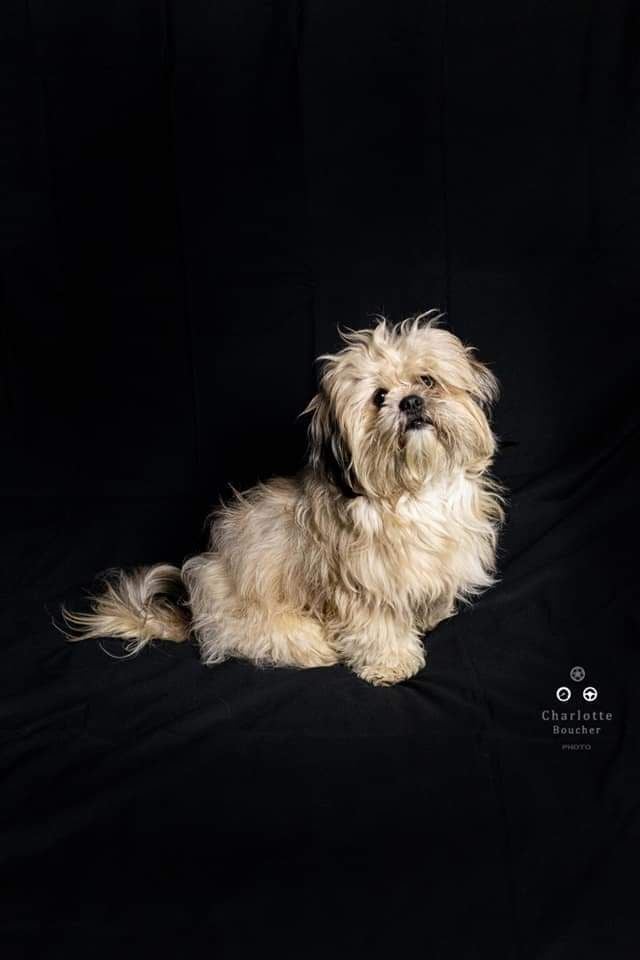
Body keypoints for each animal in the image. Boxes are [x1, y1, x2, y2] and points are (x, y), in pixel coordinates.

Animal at [64, 313, 504, 685]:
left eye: (427, 381)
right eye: (379, 397)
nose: (410, 401)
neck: (414, 490)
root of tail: (195, 617)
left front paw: (429, 616)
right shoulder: (362, 585)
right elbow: (377, 627)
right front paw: (391, 662)